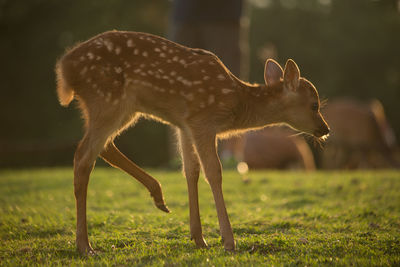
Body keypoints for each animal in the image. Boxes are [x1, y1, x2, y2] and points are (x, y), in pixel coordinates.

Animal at [57, 30, 332, 255]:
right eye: (314, 105)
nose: (325, 129)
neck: (235, 104)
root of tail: (64, 68)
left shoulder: (184, 124)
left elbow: (191, 171)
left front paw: (199, 238)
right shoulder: (203, 121)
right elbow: (214, 172)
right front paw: (228, 241)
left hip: (117, 107)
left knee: (103, 147)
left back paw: (159, 198)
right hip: (107, 99)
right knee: (83, 156)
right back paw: (85, 246)